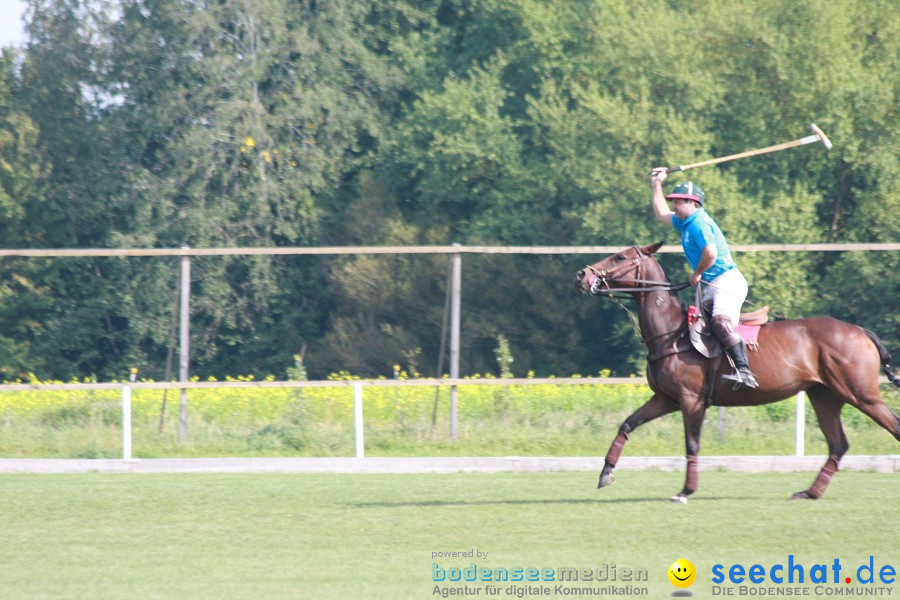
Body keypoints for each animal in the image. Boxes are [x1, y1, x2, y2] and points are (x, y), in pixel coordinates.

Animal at [572, 241, 896, 500]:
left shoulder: (692, 400)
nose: (582, 275)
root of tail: (861, 331)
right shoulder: (666, 399)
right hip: (825, 396)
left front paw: (686, 490)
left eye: (619, 257)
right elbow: (627, 424)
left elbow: (692, 444)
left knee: (891, 426)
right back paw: (810, 492)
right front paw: (606, 472)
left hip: (861, 394)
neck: (672, 334)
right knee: (838, 444)